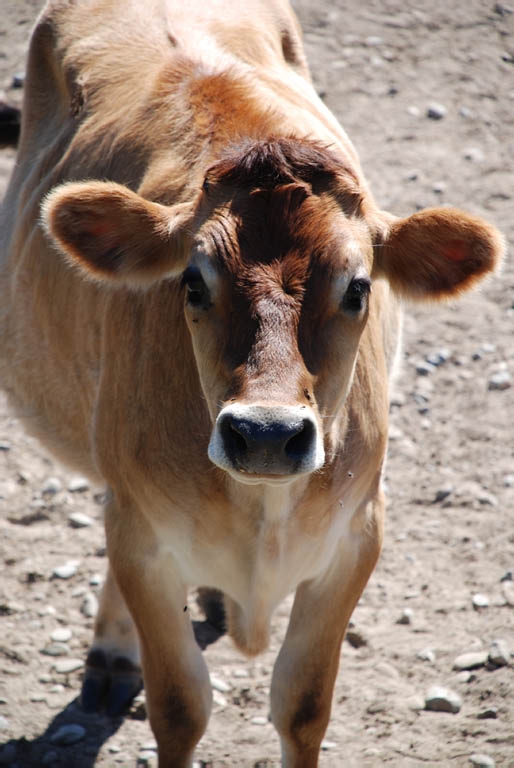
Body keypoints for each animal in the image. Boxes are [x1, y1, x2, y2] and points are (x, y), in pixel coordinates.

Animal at [0, 0, 502, 764]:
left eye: (358, 288)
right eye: (192, 282)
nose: (266, 434)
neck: (260, 512)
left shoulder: (358, 537)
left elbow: (303, 705)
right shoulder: (143, 539)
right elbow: (179, 706)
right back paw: (113, 657)